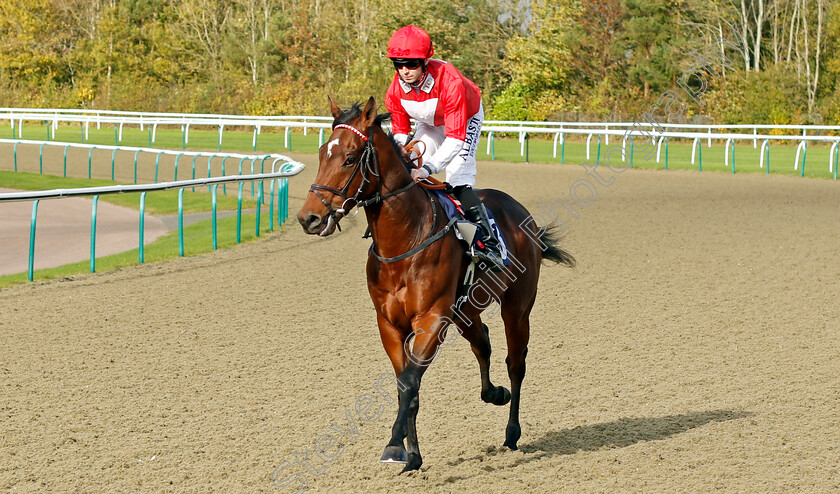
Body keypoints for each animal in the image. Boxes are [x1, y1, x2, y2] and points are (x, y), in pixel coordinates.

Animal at [296, 95, 572, 470]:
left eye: (350, 158)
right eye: (322, 153)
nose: (308, 218)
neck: (405, 240)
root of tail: (522, 214)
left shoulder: (431, 319)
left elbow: (410, 381)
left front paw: (394, 445)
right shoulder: (390, 324)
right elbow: (406, 386)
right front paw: (411, 455)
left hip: (516, 307)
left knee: (516, 363)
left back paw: (512, 433)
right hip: (466, 310)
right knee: (482, 343)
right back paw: (494, 393)